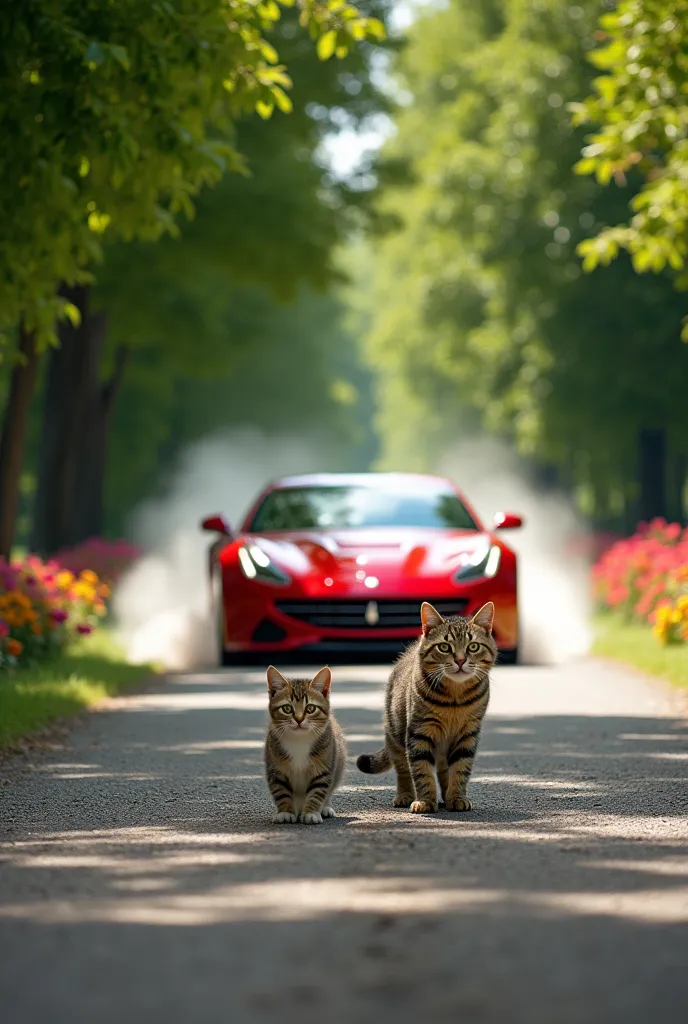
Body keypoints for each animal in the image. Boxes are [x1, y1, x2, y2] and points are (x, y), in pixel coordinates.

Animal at [264, 663, 346, 823]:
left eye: (310, 708)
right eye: (287, 708)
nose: (299, 719)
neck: (299, 740)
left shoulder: (324, 767)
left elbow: (317, 791)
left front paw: (311, 813)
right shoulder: (275, 768)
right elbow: (281, 790)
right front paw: (285, 812)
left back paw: (326, 808)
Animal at [358, 598, 497, 815]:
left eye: (473, 647)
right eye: (445, 647)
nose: (460, 660)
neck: (455, 698)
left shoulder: (468, 734)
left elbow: (460, 770)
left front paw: (457, 797)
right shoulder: (419, 732)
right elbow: (422, 772)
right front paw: (425, 801)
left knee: (443, 769)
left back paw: (447, 796)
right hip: (395, 736)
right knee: (403, 769)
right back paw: (405, 795)